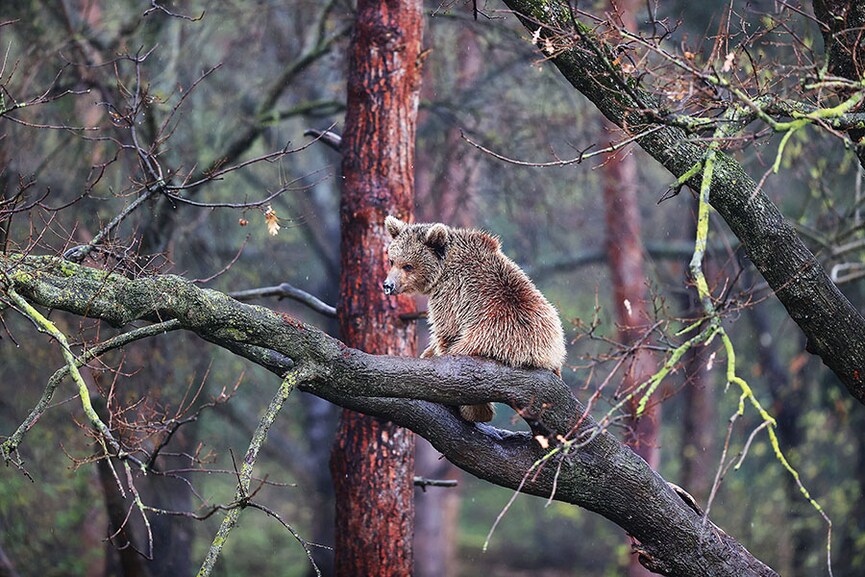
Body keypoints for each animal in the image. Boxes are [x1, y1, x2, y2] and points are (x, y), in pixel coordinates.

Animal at [382, 214, 564, 420]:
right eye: (392, 261)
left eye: (408, 266)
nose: (388, 285)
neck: (443, 269)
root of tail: (538, 356)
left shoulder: (450, 295)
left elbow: (445, 330)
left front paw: (430, 352)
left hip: (489, 336)